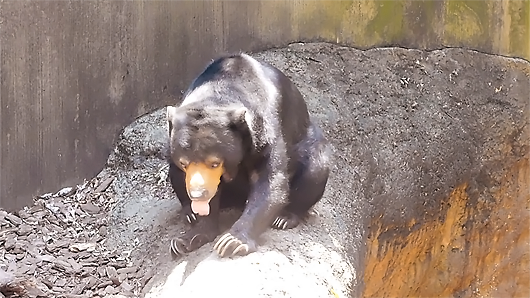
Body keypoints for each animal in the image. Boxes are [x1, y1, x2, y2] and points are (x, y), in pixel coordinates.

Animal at [165, 53, 330, 258]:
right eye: (184, 163)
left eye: (214, 163)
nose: (198, 194)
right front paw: (185, 240)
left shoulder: (265, 129)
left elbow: (269, 182)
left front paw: (232, 241)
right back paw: (190, 214)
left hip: (309, 145)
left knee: (315, 169)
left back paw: (285, 218)